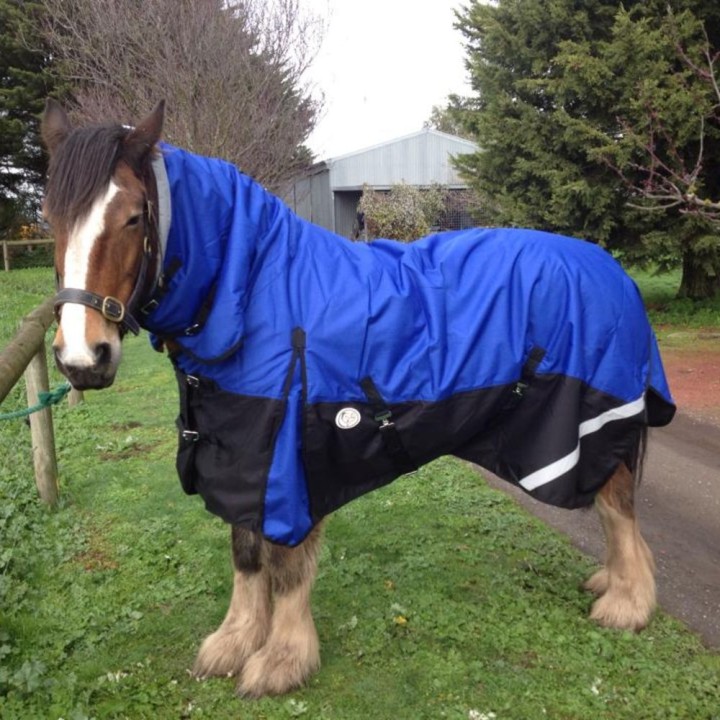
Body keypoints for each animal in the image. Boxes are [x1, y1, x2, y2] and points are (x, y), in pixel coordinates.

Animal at [41, 99, 675, 698]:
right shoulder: (242, 458)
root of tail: (614, 272)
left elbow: (285, 565)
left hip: (596, 423)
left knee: (618, 509)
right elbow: (245, 552)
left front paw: (282, 661)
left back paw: (626, 604)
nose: (82, 358)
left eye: (133, 216)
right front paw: (234, 642)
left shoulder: (288, 463)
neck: (253, 293)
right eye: (50, 219)